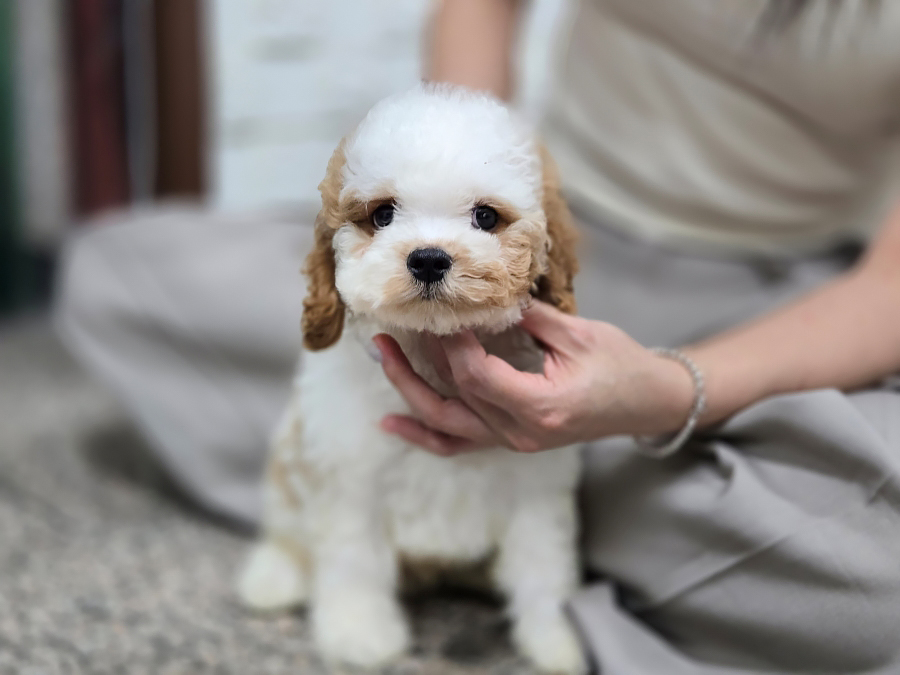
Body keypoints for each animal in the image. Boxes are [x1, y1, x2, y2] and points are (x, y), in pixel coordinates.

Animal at [237, 84, 585, 674]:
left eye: (486, 216)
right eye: (382, 214)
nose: (427, 259)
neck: (430, 348)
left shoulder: (535, 478)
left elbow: (541, 561)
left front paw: (553, 639)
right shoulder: (350, 475)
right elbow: (353, 558)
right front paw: (359, 635)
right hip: (289, 463)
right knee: (287, 528)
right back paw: (273, 578)